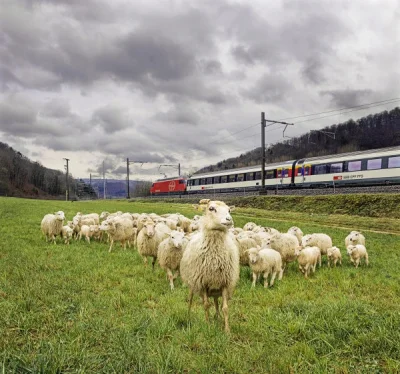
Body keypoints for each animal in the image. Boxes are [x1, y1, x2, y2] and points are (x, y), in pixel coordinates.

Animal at [181, 199, 241, 334]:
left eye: (229, 210)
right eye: (211, 208)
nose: (229, 219)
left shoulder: (224, 282)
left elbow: (225, 308)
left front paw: (227, 330)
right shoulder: (202, 282)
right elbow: (206, 305)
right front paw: (208, 326)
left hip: (215, 287)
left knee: (216, 302)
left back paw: (217, 317)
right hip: (193, 283)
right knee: (191, 299)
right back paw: (188, 315)